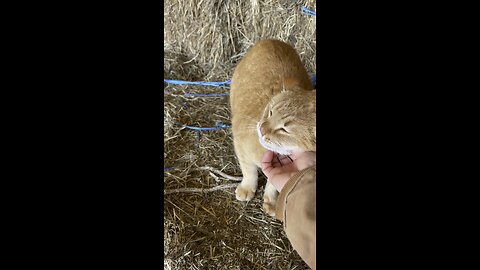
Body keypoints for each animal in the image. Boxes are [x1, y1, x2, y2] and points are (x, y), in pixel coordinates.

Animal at [229, 39, 316, 216]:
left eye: (284, 129)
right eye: (270, 112)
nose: (262, 129)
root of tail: (271, 40)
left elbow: (273, 183)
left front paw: (272, 201)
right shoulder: (240, 146)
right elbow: (249, 171)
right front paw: (247, 188)